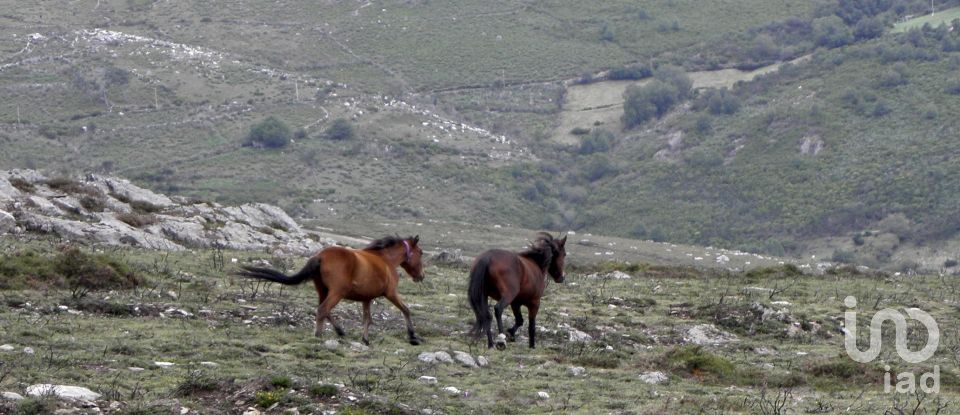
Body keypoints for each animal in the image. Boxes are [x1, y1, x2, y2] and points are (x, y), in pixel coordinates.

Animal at [236, 236, 424, 346]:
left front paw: (365, 340)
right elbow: (406, 309)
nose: (421, 276)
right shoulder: (391, 293)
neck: (386, 260)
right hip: (337, 293)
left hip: (323, 290)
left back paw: (339, 331)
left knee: (323, 311)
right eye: (421, 252)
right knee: (323, 310)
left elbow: (367, 319)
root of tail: (320, 256)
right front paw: (413, 336)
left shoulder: (366, 298)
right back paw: (318, 336)